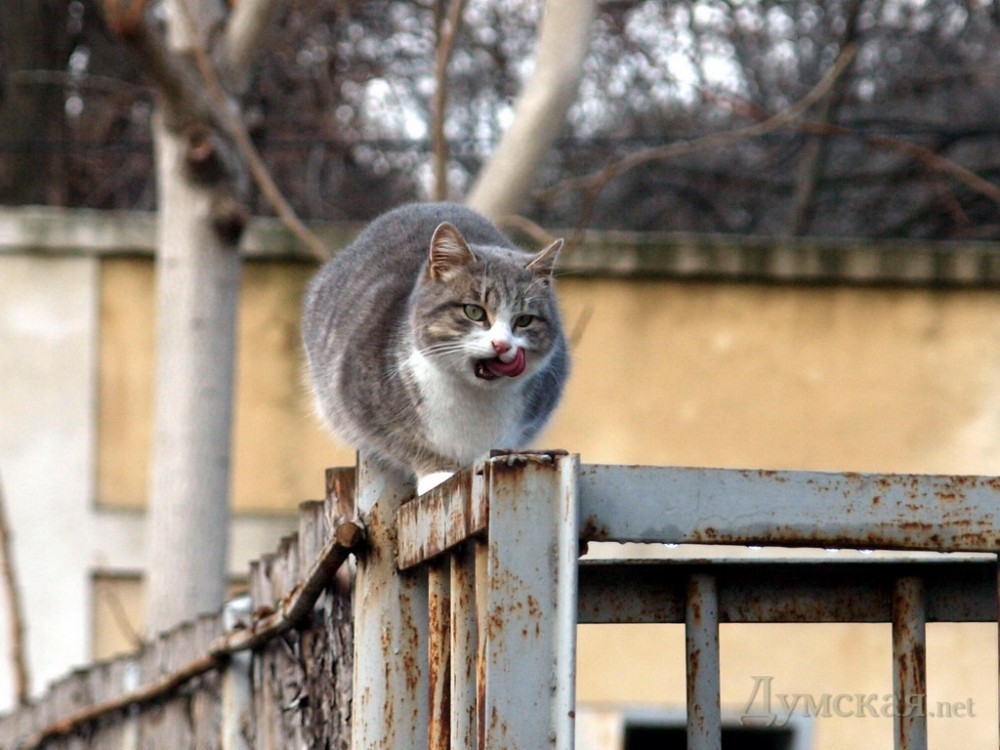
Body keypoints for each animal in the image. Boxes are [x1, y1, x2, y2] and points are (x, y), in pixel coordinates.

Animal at [301, 202, 569, 494]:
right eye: (474, 311)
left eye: (523, 320)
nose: (502, 344)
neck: (474, 398)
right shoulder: (364, 407)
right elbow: (406, 443)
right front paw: (438, 473)